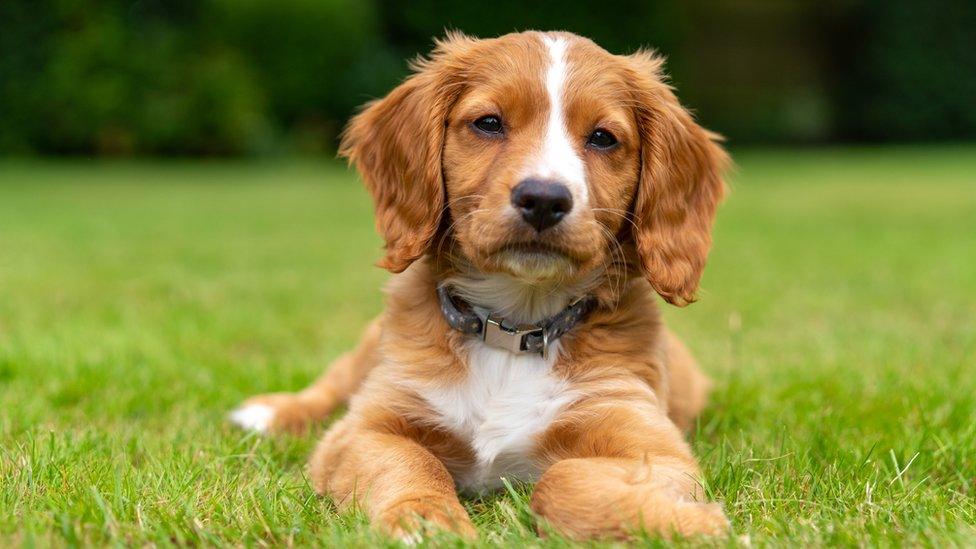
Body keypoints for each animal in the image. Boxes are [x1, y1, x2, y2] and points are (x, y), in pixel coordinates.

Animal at [233, 30, 728, 540]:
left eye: (603, 138)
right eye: (489, 124)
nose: (543, 199)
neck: (514, 327)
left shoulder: (648, 442)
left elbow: (558, 481)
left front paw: (693, 523)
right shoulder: (364, 428)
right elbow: (408, 462)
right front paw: (425, 520)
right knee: (335, 382)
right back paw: (269, 413)